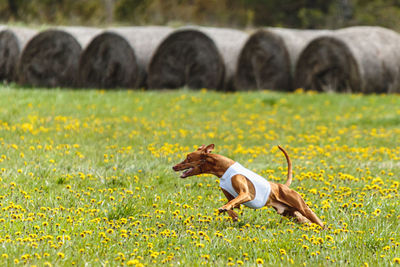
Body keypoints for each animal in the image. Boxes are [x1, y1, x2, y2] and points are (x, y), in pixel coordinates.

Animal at [173, 144, 324, 228]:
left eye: (188, 158)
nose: (174, 167)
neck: (223, 169)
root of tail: (282, 186)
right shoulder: (232, 198)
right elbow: (231, 205)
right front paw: (232, 215)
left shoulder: (246, 194)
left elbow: (232, 202)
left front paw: (225, 209)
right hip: (292, 214)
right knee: (308, 222)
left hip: (303, 208)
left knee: (320, 223)